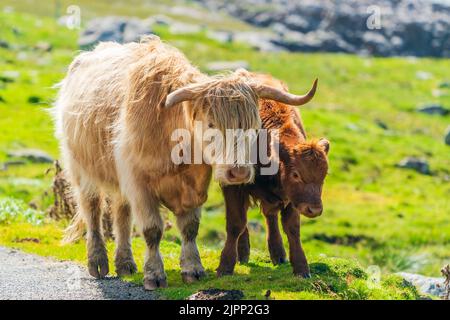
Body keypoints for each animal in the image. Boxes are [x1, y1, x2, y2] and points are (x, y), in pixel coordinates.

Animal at [53, 35, 316, 290]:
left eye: (254, 124)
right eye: (211, 124)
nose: (239, 173)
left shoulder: (193, 187)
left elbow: (190, 227)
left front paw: (193, 269)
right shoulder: (139, 185)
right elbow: (152, 230)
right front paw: (154, 275)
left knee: (121, 215)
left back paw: (125, 264)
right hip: (81, 170)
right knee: (92, 211)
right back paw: (98, 262)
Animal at [216, 73, 328, 278]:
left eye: (324, 175)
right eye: (296, 174)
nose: (314, 210)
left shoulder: (291, 199)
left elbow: (292, 228)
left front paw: (301, 268)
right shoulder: (233, 187)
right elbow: (236, 224)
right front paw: (225, 266)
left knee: (270, 216)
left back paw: (278, 255)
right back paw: (243, 253)